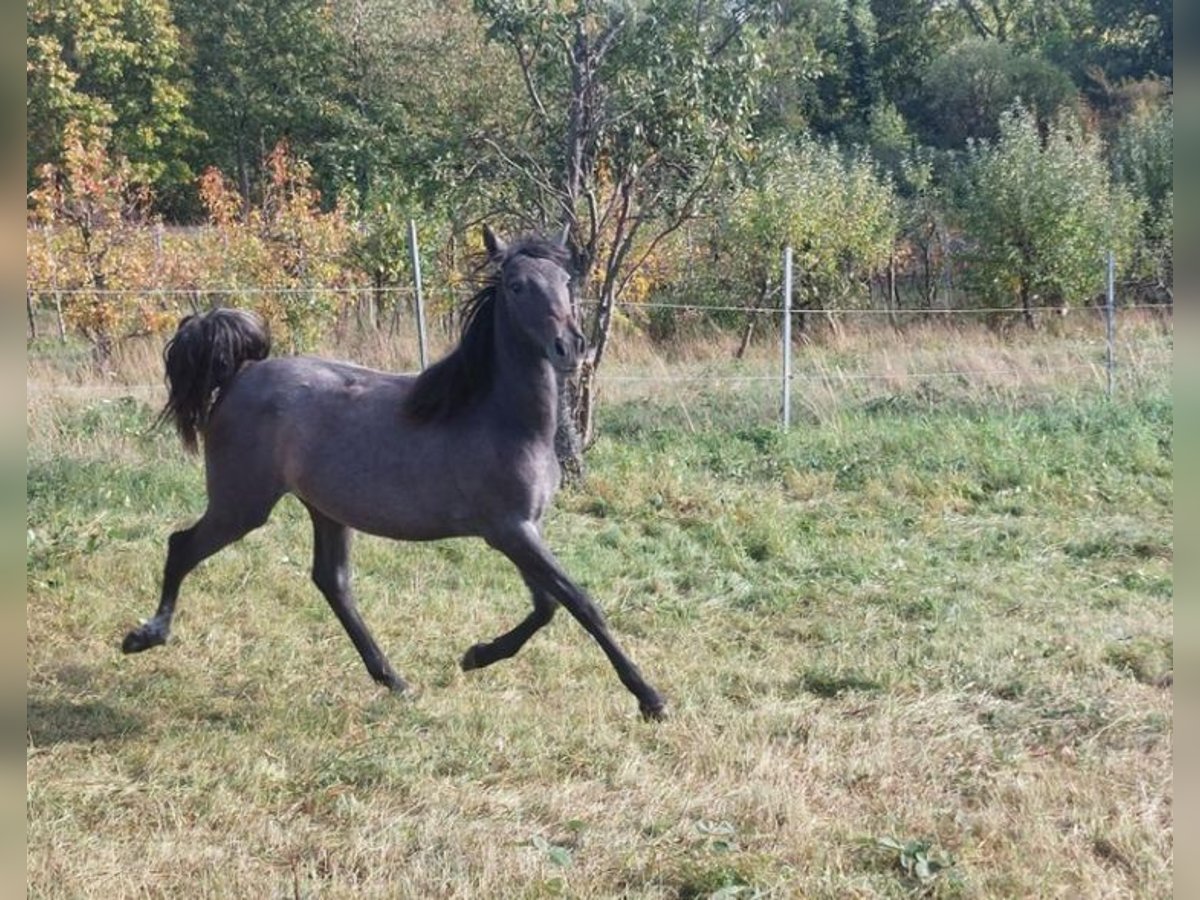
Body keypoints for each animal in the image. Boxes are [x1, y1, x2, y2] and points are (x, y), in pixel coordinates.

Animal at [124, 229, 667, 724]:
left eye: (566, 280)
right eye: (516, 286)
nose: (569, 347)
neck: (502, 419)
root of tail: (240, 373)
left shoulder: (524, 529)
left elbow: (547, 606)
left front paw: (476, 655)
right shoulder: (510, 531)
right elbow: (579, 602)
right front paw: (650, 698)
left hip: (325, 508)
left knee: (333, 582)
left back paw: (395, 681)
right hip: (242, 505)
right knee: (182, 546)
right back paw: (146, 635)